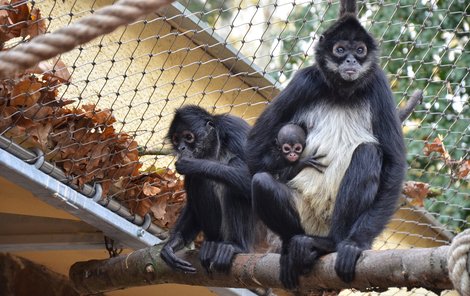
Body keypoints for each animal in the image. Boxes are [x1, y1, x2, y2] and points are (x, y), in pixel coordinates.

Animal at [248, 0, 406, 288]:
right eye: (340, 49)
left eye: (359, 50)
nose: (351, 59)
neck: (343, 92)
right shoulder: (306, 80)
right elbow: (253, 150)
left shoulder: (378, 83)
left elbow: (394, 162)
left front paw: (357, 243)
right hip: (306, 216)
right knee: (262, 181)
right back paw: (295, 247)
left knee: (368, 152)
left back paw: (330, 244)